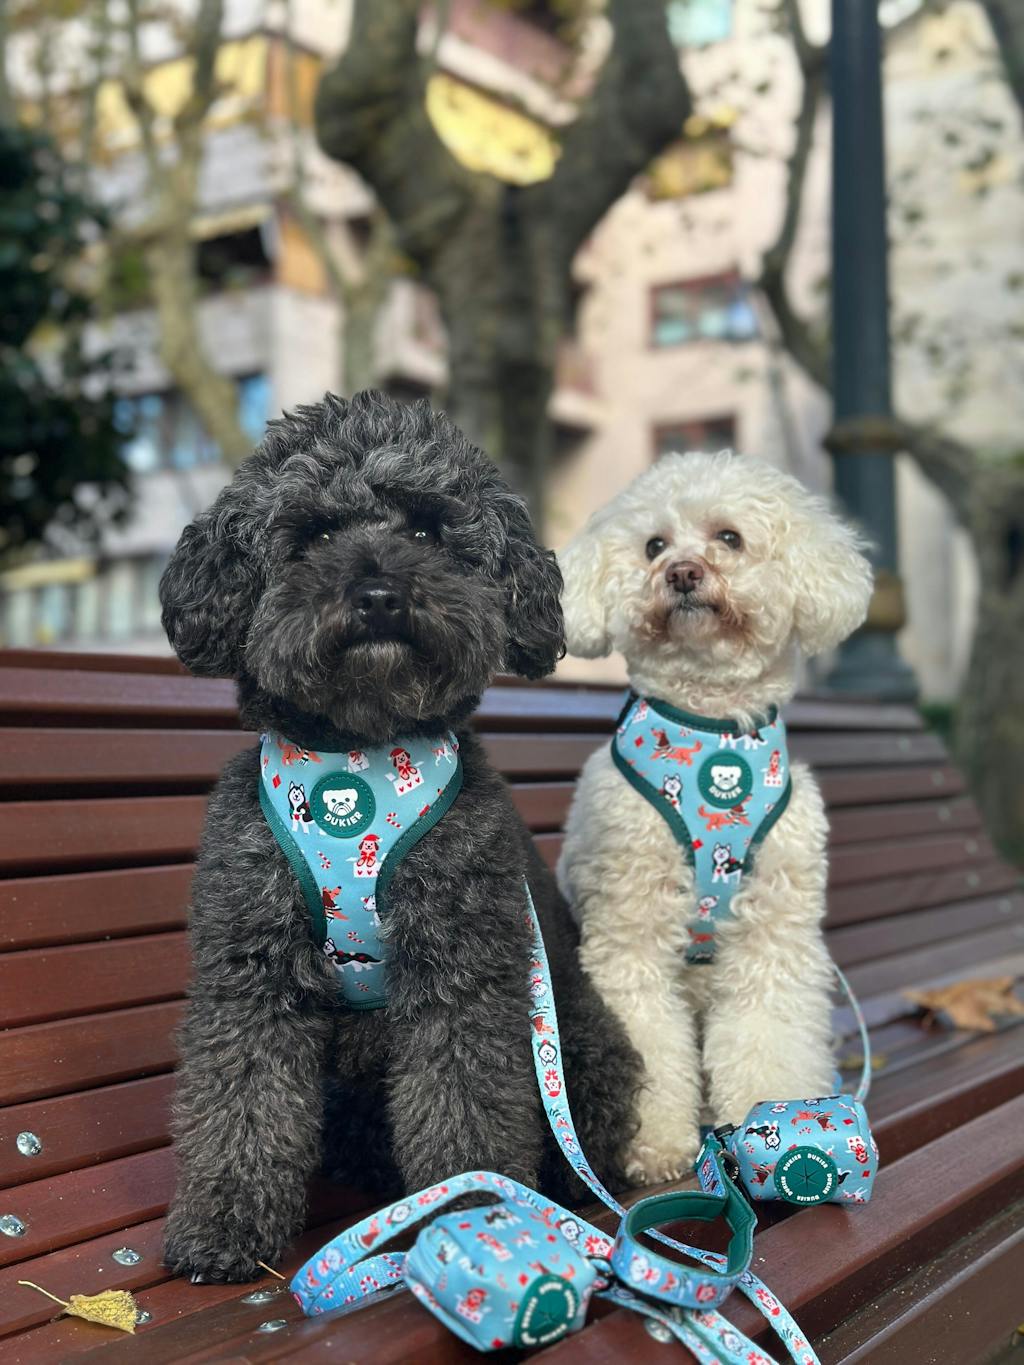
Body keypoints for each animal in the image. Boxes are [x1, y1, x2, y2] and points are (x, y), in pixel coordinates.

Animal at [159, 390, 639, 1282]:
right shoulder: (254, 970)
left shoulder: (461, 968)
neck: (358, 759)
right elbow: (242, 1099)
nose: (380, 594)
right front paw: (223, 1221)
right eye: (313, 534)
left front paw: (473, 1208)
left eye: (425, 531)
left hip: (585, 1040)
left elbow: (464, 1100)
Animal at [556, 450, 872, 1185]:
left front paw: (779, 1116)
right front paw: (654, 1144)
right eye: (654, 545)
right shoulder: (630, 932)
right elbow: (646, 1031)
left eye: (728, 537)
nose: (682, 573)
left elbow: (768, 1027)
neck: (711, 731)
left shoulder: (774, 932)